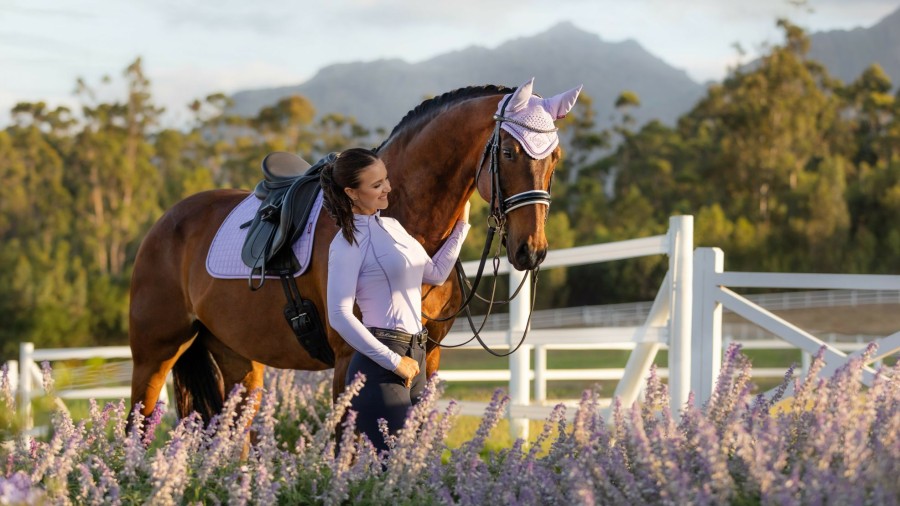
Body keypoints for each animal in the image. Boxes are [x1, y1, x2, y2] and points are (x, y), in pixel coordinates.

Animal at [128, 79, 584, 424]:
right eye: (508, 152)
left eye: (555, 158)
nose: (532, 251)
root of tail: (164, 224)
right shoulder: (352, 357)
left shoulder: (430, 356)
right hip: (154, 355)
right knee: (138, 426)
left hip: (239, 358)